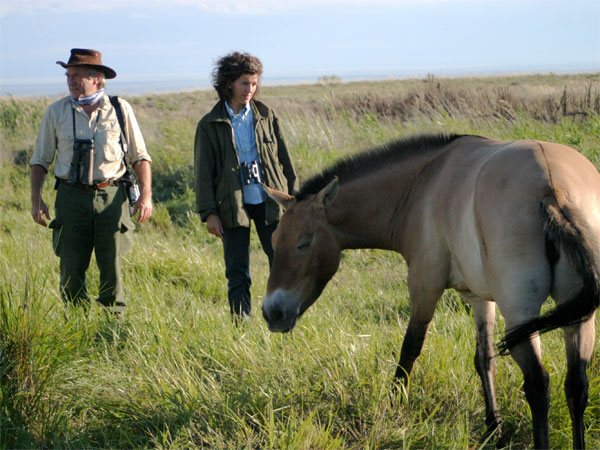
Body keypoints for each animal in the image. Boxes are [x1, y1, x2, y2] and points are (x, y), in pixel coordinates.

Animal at [262, 134, 600, 450]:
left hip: (521, 314)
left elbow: (409, 351)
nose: (271, 312)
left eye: (304, 243)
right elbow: (484, 359)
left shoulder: (424, 286)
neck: (422, 185)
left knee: (537, 384)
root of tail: (552, 189)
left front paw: (392, 410)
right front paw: (494, 429)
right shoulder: (479, 298)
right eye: (276, 238)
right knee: (576, 384)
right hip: (577, 319)